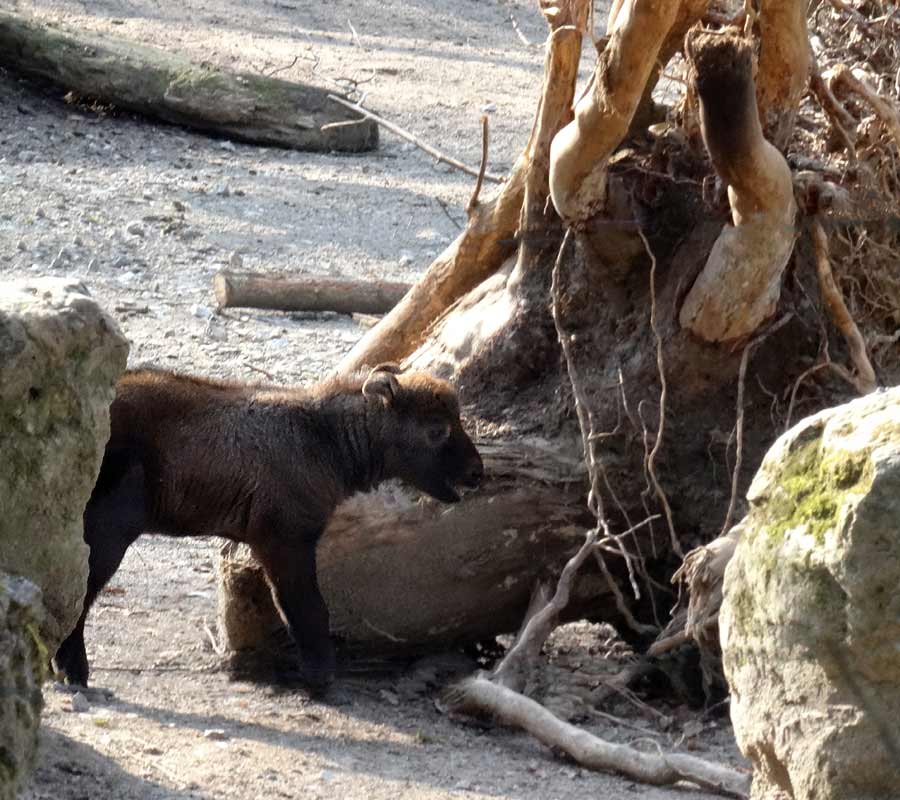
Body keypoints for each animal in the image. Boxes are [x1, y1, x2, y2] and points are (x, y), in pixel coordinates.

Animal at [55, 366, 486, 692]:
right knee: (79, 591)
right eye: (436, 429)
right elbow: (307, 607)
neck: (324, 438)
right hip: (107, 529)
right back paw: (73, 670)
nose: (476, 473)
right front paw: (320, 679)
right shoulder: (284, 540)